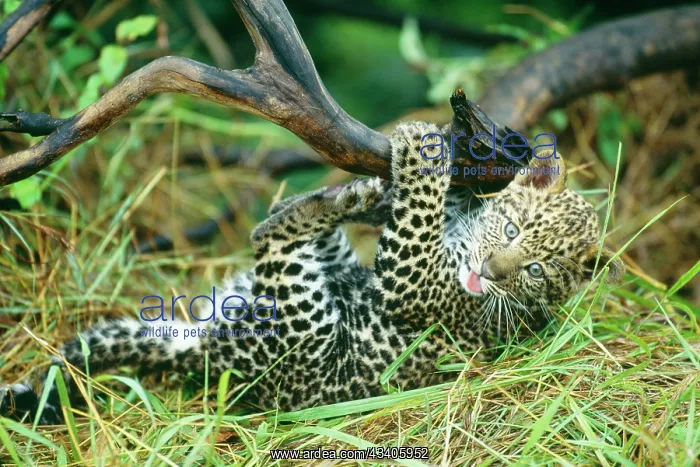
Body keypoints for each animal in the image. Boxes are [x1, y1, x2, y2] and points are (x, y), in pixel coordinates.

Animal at [0, 121, 624, 425]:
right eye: (515, 231)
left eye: (537, 272)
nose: (491, 273)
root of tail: (203, 352)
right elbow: (428, 210)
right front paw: (409, 181)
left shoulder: (414, 281)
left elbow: (418, 217)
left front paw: (420, 151)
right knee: (305, 234)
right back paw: (351, 194)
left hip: (301, 326)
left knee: (267, 237)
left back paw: (319, 204)